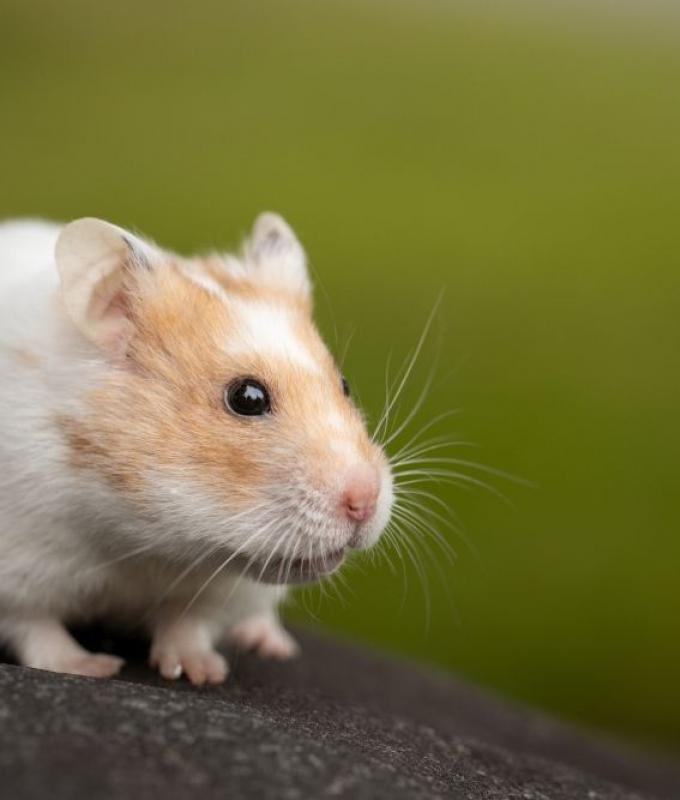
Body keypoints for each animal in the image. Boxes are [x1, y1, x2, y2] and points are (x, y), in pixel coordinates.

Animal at [0, 214, 393, 685]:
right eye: (247, 398)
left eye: (345, 385)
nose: (365, 502)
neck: (139, 542)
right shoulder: (19, 565)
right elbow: (37, 627)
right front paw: (94, 668)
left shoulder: (219, 589)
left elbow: (187, 622)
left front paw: (201, 672)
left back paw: (269, 642)